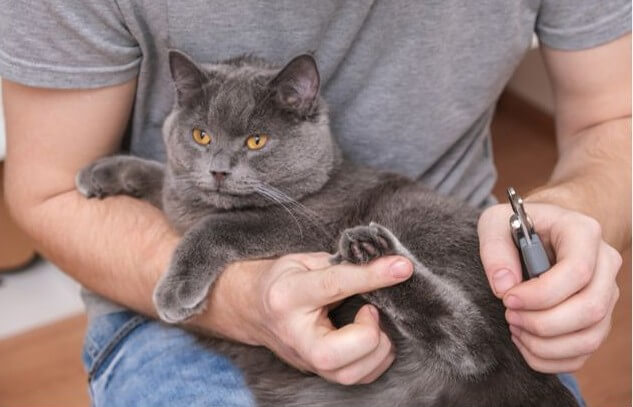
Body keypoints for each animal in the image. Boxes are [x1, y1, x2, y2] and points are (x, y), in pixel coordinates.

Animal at [75, 51, 576, 407]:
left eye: (256, 141)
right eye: (200, 135)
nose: (217, 170)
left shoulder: (305, 224)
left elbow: (219, 226)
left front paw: (175, 292)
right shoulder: (181, 193)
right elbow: (162, 177)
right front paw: (102, 172)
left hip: (421, 222)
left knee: (479, 347)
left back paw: (370, 250)